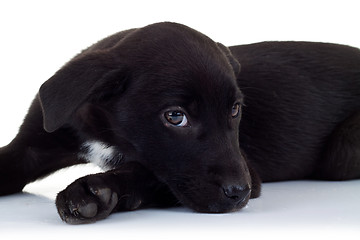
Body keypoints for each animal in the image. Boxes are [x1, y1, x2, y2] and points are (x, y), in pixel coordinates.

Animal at [0, 21, 360, 224]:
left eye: (235, 110)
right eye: (175, 116)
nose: (239, 194)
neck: (107, 129)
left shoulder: (247, 170)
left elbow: (148, 172)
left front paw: (95, 191)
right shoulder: (32, 145)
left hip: (341, 153)